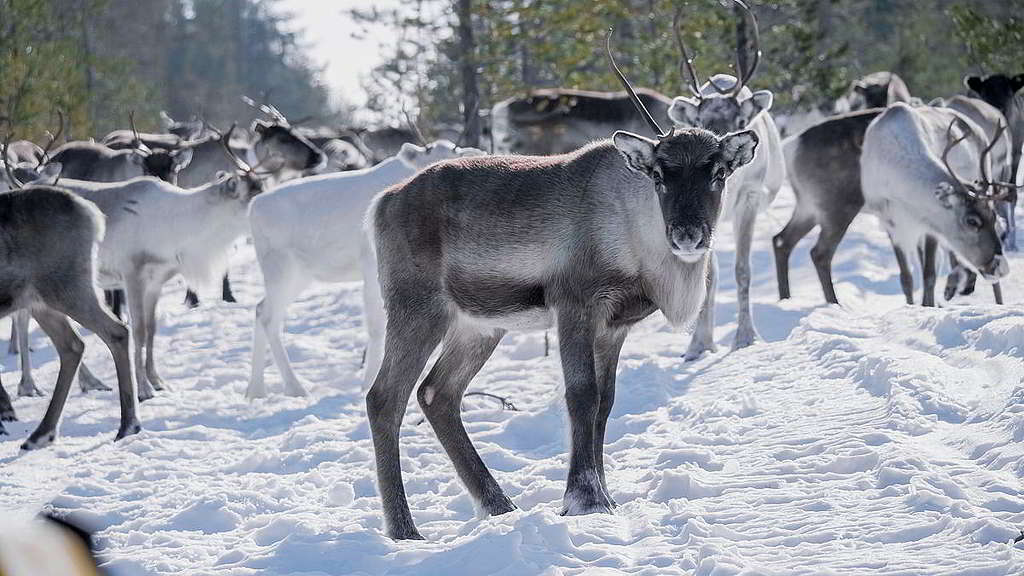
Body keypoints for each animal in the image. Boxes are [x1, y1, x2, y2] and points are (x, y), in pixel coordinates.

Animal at [362, 29, 761, 541]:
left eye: (718, 172)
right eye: (659, 175)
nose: (687, 235)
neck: (639, 239)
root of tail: (383, 202)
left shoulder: (615, 325)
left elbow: (606, 402)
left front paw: (605, 494)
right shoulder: (575, 305)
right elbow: (581, 396)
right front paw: (584, 499)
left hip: (479, 326)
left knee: (437, 394)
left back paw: (499, 505)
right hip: (418, 309)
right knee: (385, 398)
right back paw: (404, 529)